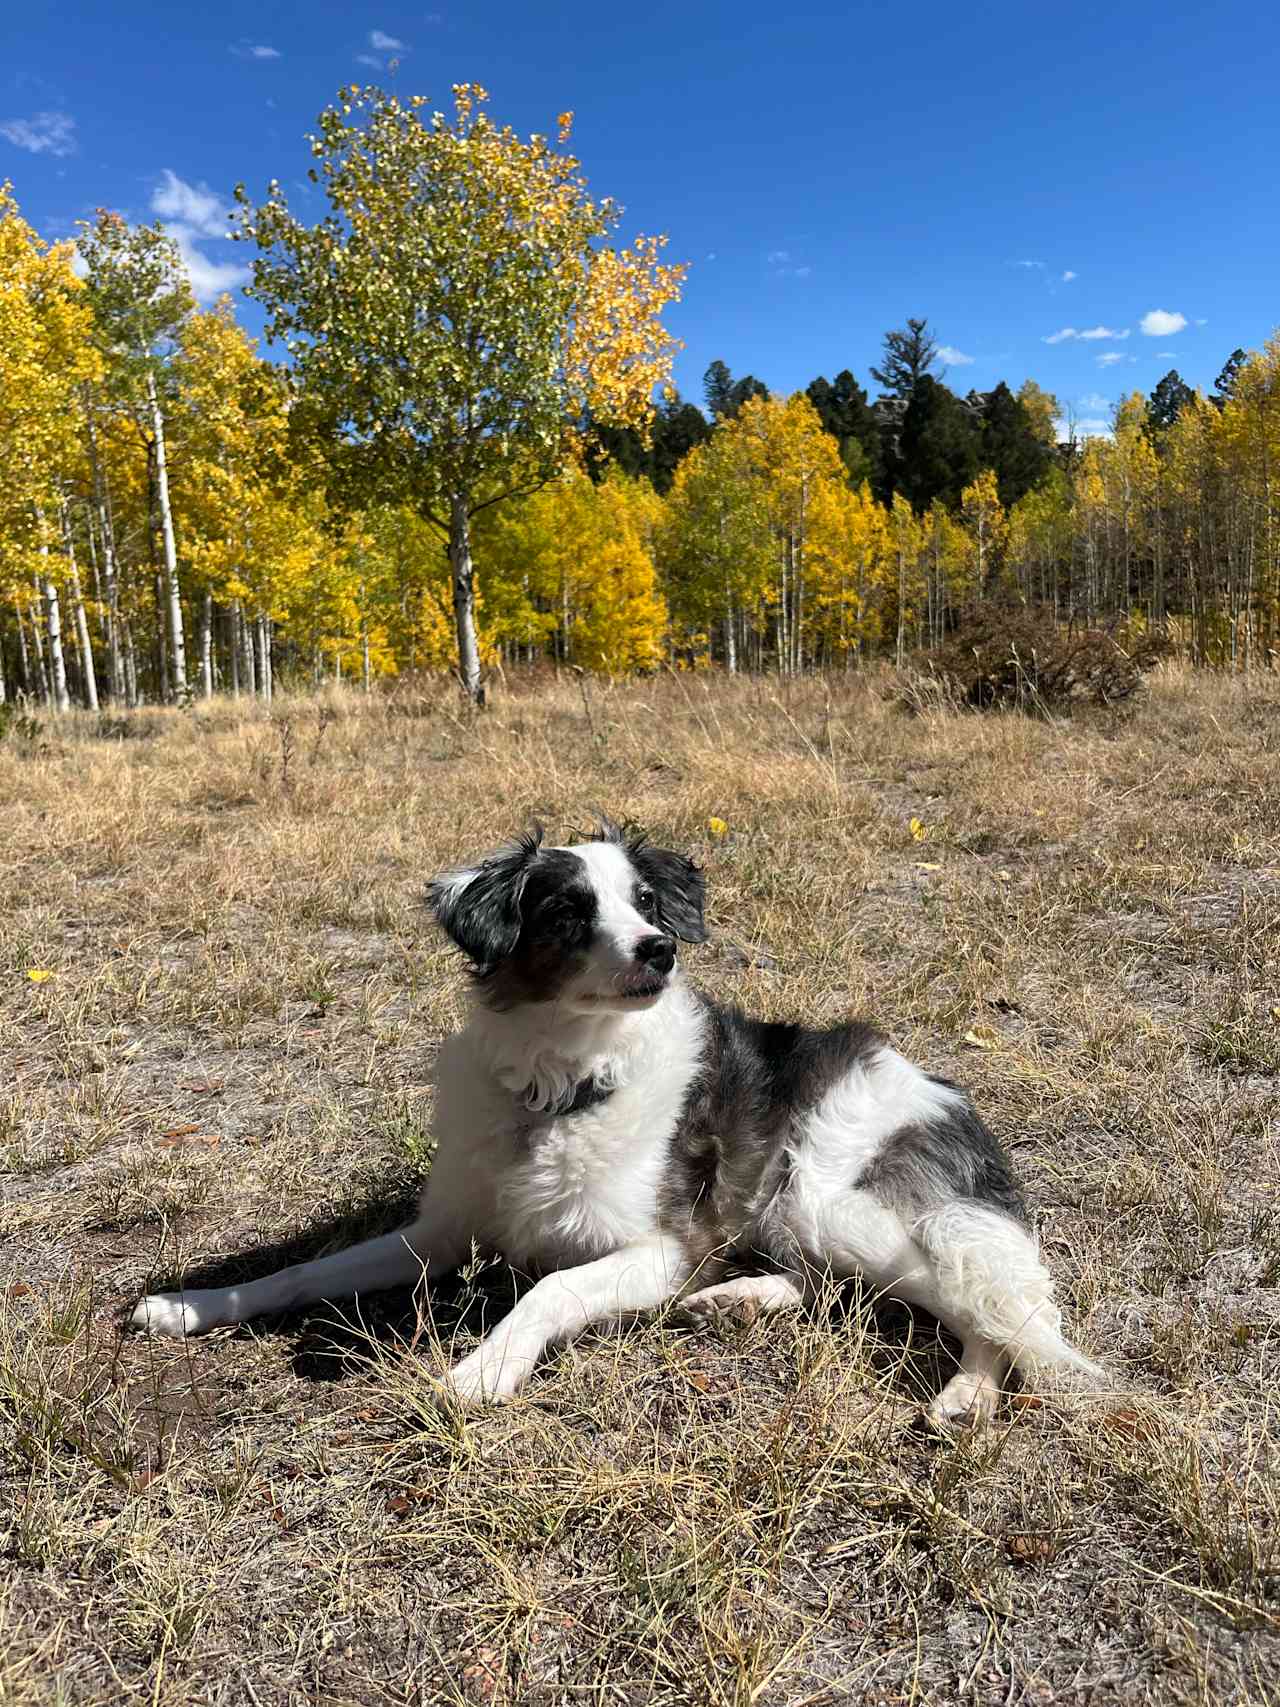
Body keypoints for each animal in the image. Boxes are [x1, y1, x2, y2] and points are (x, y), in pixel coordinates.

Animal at [133, 819, 1105, 1420]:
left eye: (645, 902)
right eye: (568, 909)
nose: (660, 948)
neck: (558, 1087)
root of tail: (934, 1086)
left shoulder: (657, 1249)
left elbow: (550, 1288)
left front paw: (485, 1365)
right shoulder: (443, 1230)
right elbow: (302, 1271)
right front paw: (191, 1305)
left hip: (831, 1198)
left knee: (998, 1310)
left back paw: (968, 1394)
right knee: (835, 1287)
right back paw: (740, 1301)